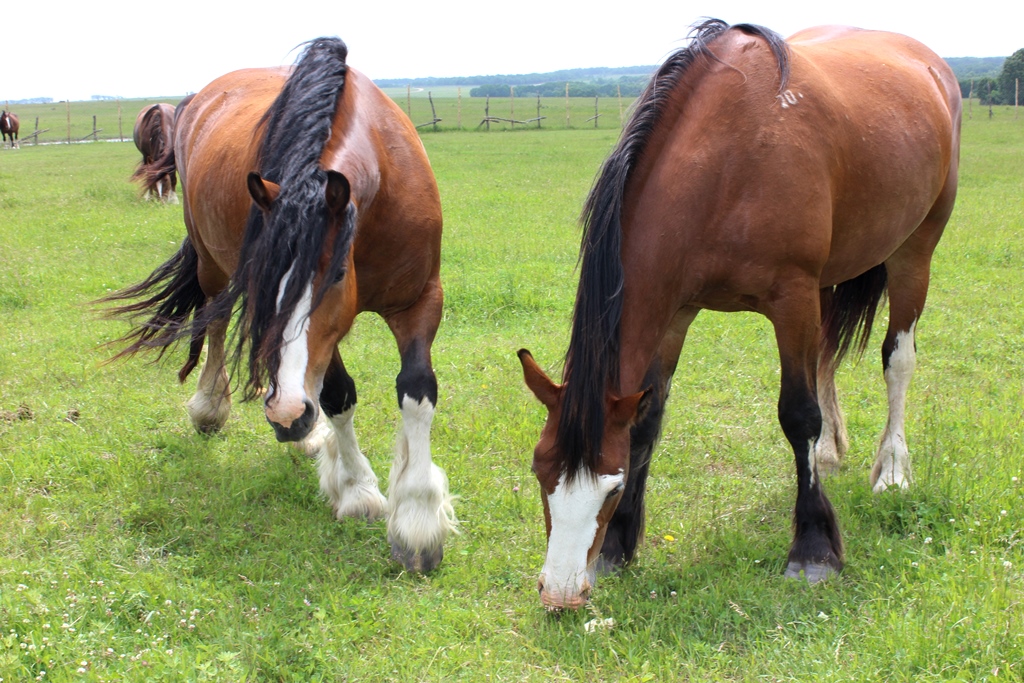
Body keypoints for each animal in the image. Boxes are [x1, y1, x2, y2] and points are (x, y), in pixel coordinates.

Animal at [101, 37, 454, 573]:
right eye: (263, 280)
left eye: (335, 276)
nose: (287, 415)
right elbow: (338, 394)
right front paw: (358, 490)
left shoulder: (419, 299)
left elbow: (416, 391)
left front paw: (417, 520)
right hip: (210, 264)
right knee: (216, 322)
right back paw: (211, 407)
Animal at [520, 20, 958, 610]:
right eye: (541, 470)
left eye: (611, 485)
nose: (561, 592)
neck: (729, 160)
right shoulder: (675, 313)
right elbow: (647, 421)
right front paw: (617, 545)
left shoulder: (791, 298)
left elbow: (798, 415)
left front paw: (814, 549)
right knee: (826, 356)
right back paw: (828, 456)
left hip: (915, 250)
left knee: (898, 361)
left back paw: (891, 470)